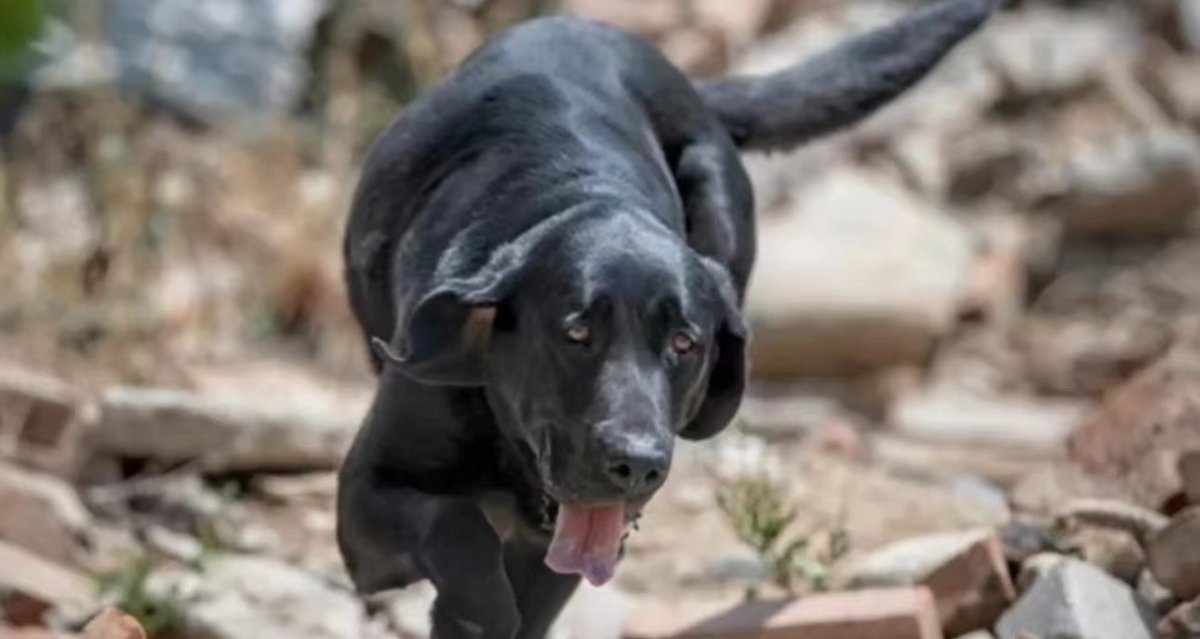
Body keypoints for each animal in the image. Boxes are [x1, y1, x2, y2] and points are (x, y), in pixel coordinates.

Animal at [336, 2, 993, 634]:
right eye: (576, 333)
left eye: (684, 344)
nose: (637, 465)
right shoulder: (364, 499)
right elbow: (458, 529)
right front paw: (477, 604)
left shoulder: (563, 544)